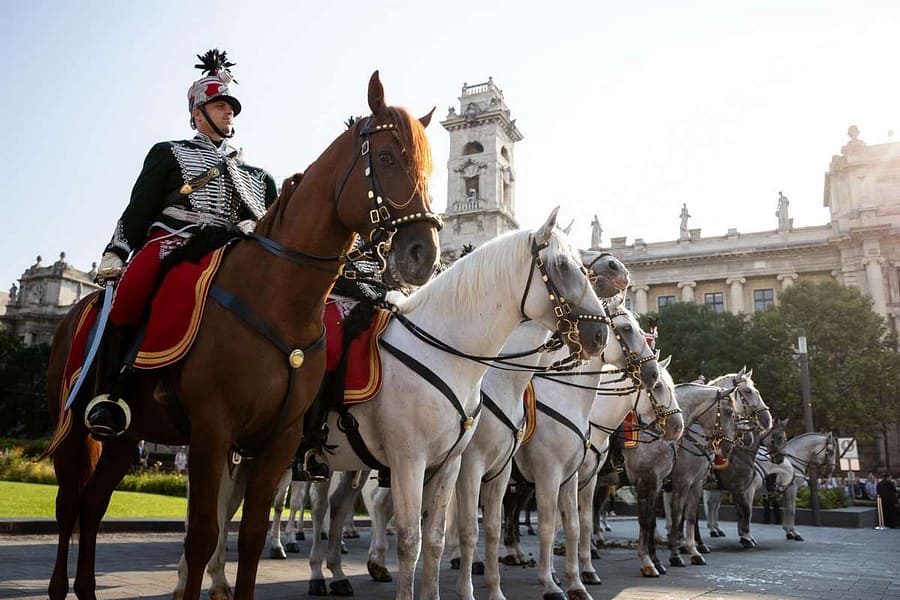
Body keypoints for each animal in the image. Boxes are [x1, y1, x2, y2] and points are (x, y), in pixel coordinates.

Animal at [44, 71, 442, 600]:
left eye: (428, 166)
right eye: (386, 157)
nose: (423, 254)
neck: (278, 298)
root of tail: (79, 309)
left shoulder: (279, 441)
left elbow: (250, 535)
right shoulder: (213, 432)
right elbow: (202, 533)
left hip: (130, 435)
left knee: (93, 504)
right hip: (74, 428)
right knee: (69, 504)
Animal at [306, 207, 608, 600]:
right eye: (561, 264)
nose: (600, 333)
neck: (446, 352)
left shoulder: (451, 464)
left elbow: (438, 537)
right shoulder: (412, 461)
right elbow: (413, 539)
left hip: (352, 463)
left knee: (339, 505)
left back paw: (339, 574)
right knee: (314, 506)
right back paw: (314, 572)